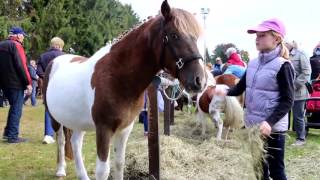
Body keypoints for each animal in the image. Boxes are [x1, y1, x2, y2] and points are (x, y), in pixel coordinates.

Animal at [43, 0, 208, 179]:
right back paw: (60, 169)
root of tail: (57, 60)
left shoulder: (125, 129)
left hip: (78, 120)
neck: (117, 78)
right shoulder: (104, 129)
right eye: (175, 35)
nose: (200, 80)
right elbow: (103, 170)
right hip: (54, 117)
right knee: (61, 140)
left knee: (75, 142)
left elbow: (119, 163)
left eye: (195, 37)